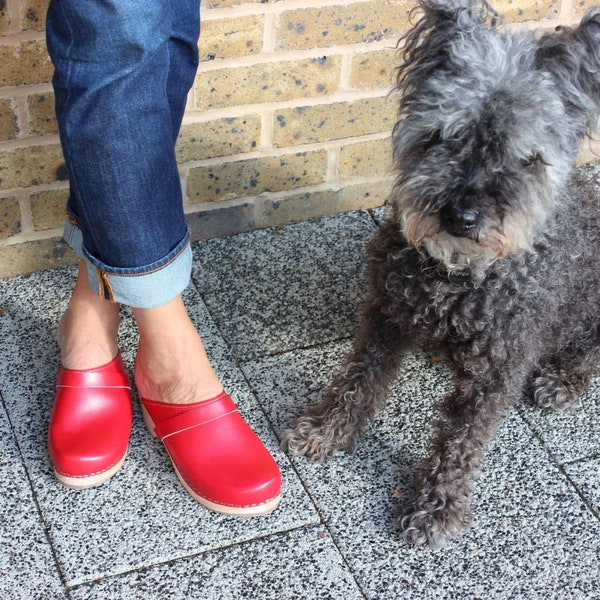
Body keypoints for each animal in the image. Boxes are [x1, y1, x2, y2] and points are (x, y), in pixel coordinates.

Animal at [282, 0, 600, 548]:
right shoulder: (386, 315)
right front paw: (326, 429)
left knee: (590, 352)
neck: (457, 279)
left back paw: (562, 380)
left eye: (525, 158)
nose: (461, 215)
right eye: (441, 137)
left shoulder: (498, 369)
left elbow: (462, 440)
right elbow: (358, 379)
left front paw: (437, 507)